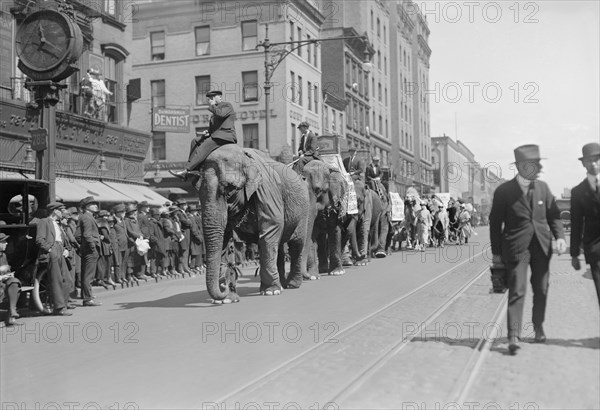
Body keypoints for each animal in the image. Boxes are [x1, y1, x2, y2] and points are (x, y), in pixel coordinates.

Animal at [195, 146, 312, 302]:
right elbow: (225, 240)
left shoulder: (267, 191)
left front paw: (271, 292)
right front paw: (228, 299)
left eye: (230, 188)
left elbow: (270, 229)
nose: (224, 287)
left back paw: (292, 284)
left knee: (296, 243)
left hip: (304, 209)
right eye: (198, 191)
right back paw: (281, 284)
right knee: (280, 245)